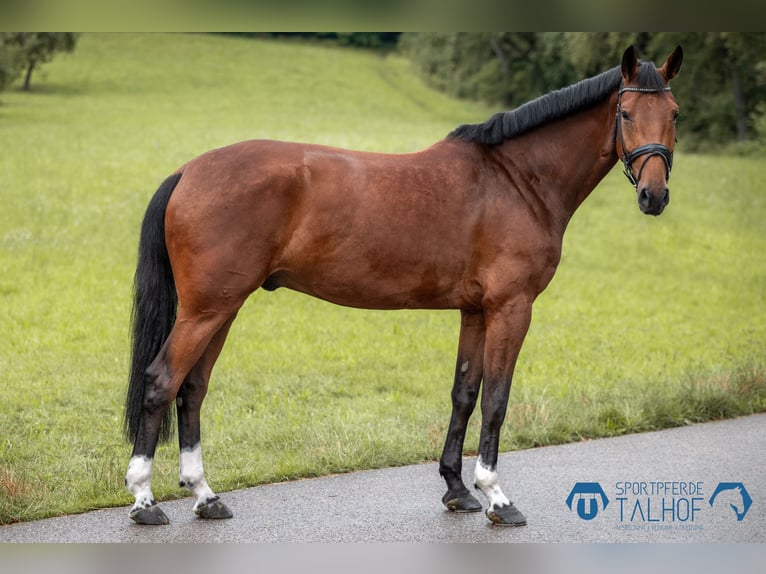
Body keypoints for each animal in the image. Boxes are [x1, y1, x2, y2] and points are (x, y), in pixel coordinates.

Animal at [124, 45, 684, 528]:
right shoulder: (511, 307)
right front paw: (496, 497)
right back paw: (145, 500)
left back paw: (205, 496)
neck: (516, 179)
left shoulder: (475, 310)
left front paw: (457, 490)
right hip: (205, 309)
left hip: (222, 307)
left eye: (674, 114)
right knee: (161, 382)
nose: (655, 196)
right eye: (626, 113)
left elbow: (464, 393)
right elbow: (497, 399)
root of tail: (188, 171)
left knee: (192, 389)